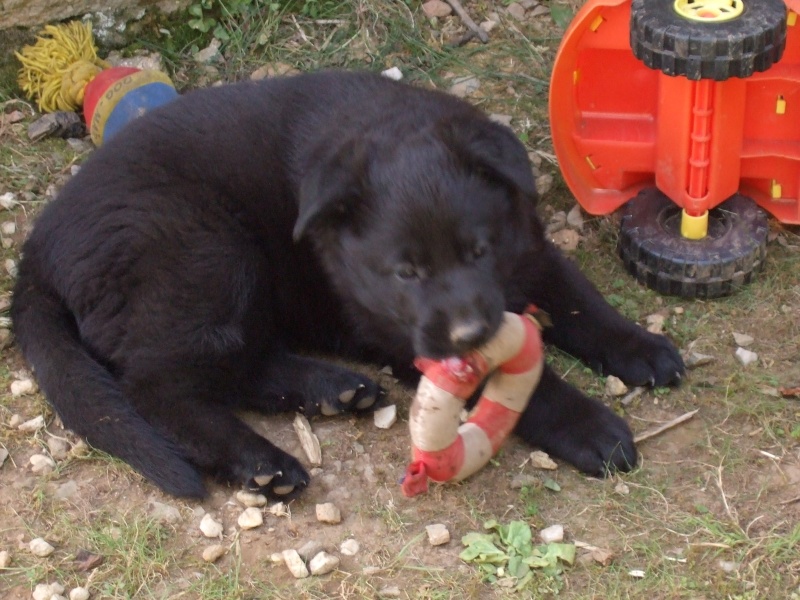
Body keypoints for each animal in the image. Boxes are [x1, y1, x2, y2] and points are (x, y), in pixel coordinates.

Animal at [12, 71, 684, 496]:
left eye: (478, 250)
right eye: (406, 272)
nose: (471, 333)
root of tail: (36, 253)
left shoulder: (529, 251)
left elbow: (581, 302)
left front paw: (641, 347)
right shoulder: (405, 330)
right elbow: (530, 381)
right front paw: (589, 426)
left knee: (234, 366)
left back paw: (333, 390)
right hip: (207, 255)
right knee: (160, 388)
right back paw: (262, 461)